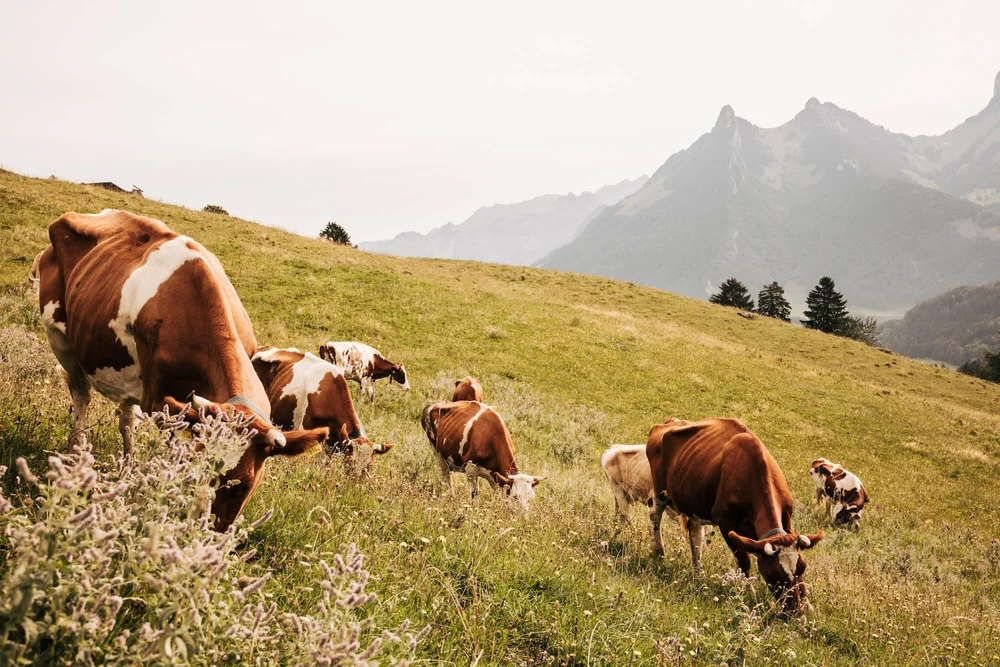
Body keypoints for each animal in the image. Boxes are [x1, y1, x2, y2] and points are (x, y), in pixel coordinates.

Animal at [34, 209, 329, 529]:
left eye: (242, 485)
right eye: (196, 469)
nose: (201, 530)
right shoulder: (157, 401)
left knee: (126, 420)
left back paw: (128, 469)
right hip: (59, 337)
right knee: (81, 394)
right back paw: (75, 454)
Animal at [646, 417, 824, 614]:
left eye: (802, 567)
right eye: (772, 573)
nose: (794, 611)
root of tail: (669, 422)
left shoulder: (787, 519)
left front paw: (808, 605)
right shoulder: (726, 523)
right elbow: (744, 561)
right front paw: (749, 594)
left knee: (695, 535)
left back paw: (698, 571)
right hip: (660, 492)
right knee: (655, 516)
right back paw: (659, 551)